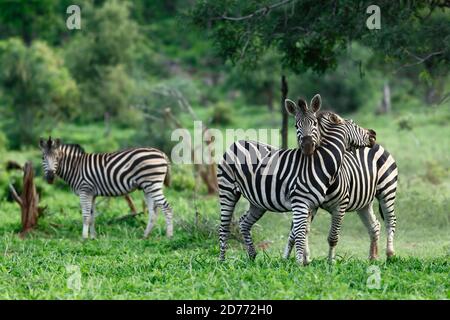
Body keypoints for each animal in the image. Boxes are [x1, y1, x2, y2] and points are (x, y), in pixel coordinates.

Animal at [39, 138, 172, 240]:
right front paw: (93, 237)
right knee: (153, 212)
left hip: (152, 184)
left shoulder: (84, 190)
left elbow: (85, 215)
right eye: (43, 158)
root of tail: (161, 153)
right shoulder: (91, 194)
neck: (75, 167)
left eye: (57, 157)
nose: (50, 177)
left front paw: (84, 237)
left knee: (167, 207)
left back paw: (169, 236)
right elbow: (92, 216)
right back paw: (145, 236)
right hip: (147, 187)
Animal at [215, 94, 376, 264]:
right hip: (227, 191)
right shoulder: (300, 202)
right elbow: (299, 233)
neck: (319, 162)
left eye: (314, 123)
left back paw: (252, 256)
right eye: (354, 124)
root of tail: (236, 142)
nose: (373, 134)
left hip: (257, 202)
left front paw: (303, 261)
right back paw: (222, 260)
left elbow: (301, 232)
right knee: (223, 226)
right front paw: (299, 263)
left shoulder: (312, 206)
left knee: (244, 223)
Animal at [284, 99, 400, 262]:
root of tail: (377, 146)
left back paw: (390, 254)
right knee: (374, 225)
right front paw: (295, 258)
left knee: (390, 220)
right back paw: (373, 257)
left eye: (314, 125)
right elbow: (297, 231)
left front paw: (330, 262)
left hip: (387, 190)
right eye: (296, 126)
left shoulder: (340, 206)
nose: (373, 133)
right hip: (364, 201)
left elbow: (332, 237)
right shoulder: (309, 202)